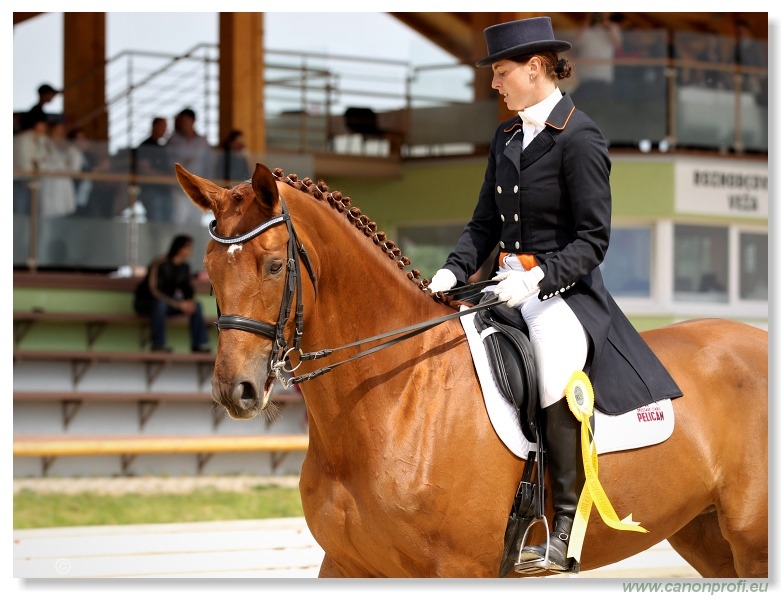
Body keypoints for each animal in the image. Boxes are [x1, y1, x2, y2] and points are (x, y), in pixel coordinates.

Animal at [177, 163, 768, 576]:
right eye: (207, 268)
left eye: (275, 265)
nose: (236, 390)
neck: (397, 397)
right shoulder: (346, 564)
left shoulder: (459, 567)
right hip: (707, 537)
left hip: (753, 542)